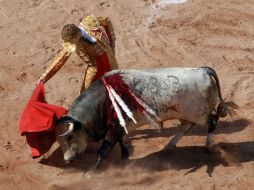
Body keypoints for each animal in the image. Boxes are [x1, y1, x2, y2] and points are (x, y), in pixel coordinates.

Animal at [54, 66, 238, 169]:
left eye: (69, 137)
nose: (67, 160)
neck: (104, 100)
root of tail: (203, 70)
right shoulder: (121, 127)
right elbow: (123, 144)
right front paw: (125, 161)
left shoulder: (114, 128)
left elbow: (104, 151)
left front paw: (90, 173)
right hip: (185, 113)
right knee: (187, 126)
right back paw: (168, 147)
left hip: (200, 113)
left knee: (212, 121)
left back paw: (208, 147)